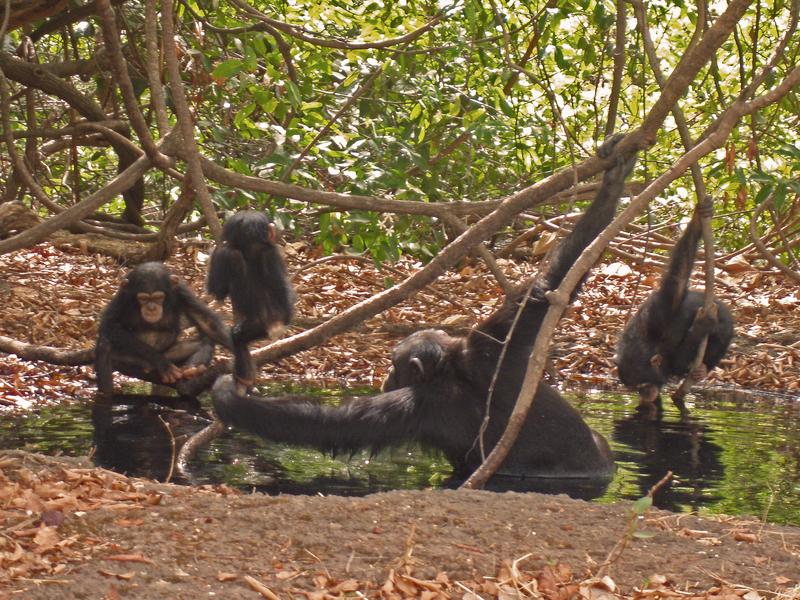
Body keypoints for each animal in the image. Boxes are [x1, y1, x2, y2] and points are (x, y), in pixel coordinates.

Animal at [94, 262, 231, 394]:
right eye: (143, 298)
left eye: (158, 297)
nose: (151, 308)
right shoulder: (123, 296)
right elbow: (110, 325)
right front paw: (161, 362)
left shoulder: (181, 292)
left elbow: (205, 321)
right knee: (105, 346)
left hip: (171, 356)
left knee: (205, 341)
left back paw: (191, 371)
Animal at [616, 198, 736, 412]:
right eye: (634, 388)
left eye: (642, 385)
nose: (643, 394)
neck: (651, 345)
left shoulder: (661, 310)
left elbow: (678, 278)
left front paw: (696, 221)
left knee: (722, 333)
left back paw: (703, 367)